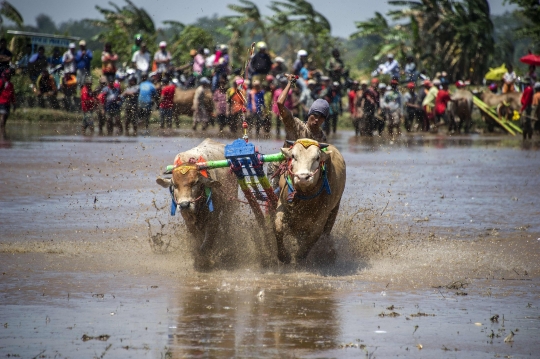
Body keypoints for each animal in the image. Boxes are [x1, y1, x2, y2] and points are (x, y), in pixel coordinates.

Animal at [155, 139, 237, 268]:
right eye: (174, 185)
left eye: (196, 182)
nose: (184, 205)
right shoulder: (189, 220)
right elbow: (198, 241)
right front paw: (199, 258)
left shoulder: (213, 219)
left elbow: (207, 243)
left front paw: (205, 260)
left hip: (231, 204)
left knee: (227, 223)